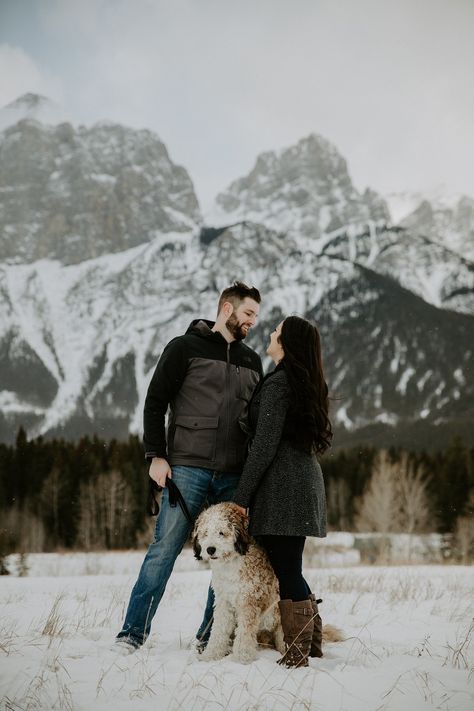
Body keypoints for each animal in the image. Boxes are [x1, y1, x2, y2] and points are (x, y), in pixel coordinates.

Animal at [193, 504, 286, 664]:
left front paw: (241, 659)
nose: (210, 549)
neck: (230, 563)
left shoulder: (248, 601)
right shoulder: (223, 602)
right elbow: (218, 630)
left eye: (221, 532)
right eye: (205, 533)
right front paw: (210, 656)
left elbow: (244, 634)